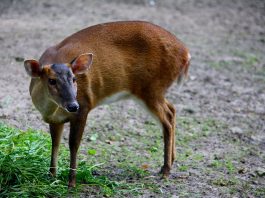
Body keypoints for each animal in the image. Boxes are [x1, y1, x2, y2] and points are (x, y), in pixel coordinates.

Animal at [23, 20, 190, 188]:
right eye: (51, 80)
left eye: (74, 79)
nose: (73, 105)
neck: (52, 110)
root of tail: (185, 53)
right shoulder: (55, 119)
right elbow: (55, 143)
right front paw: (51, 176)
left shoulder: (84, 106)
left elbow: (73, 144)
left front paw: (71, 182)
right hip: (152, 91)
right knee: (172, 110)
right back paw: (170, 161)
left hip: (152, 87)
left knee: (167, 119)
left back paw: (166, 170)